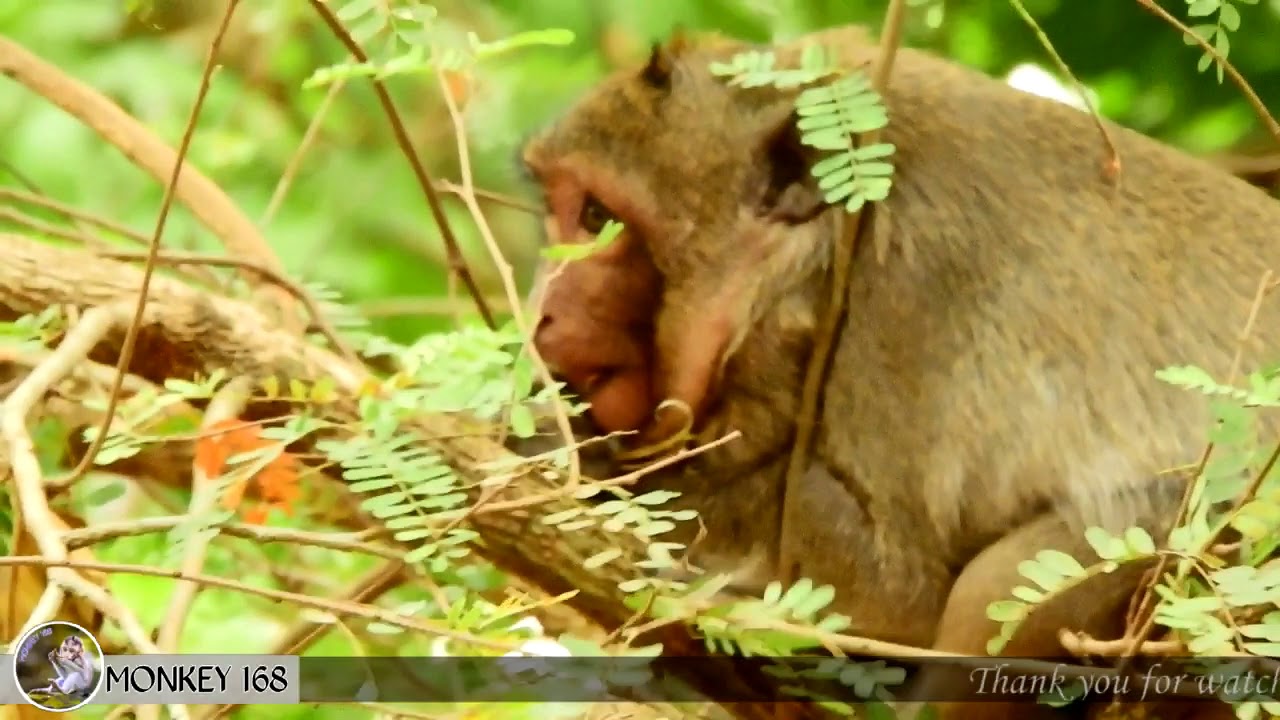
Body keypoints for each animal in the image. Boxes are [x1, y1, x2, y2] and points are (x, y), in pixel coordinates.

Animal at [514, 24, 1279, 720]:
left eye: (597, 216)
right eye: (560, 208)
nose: (541, 314)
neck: (816, 254)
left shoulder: (904, 297)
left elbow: (893, 596)